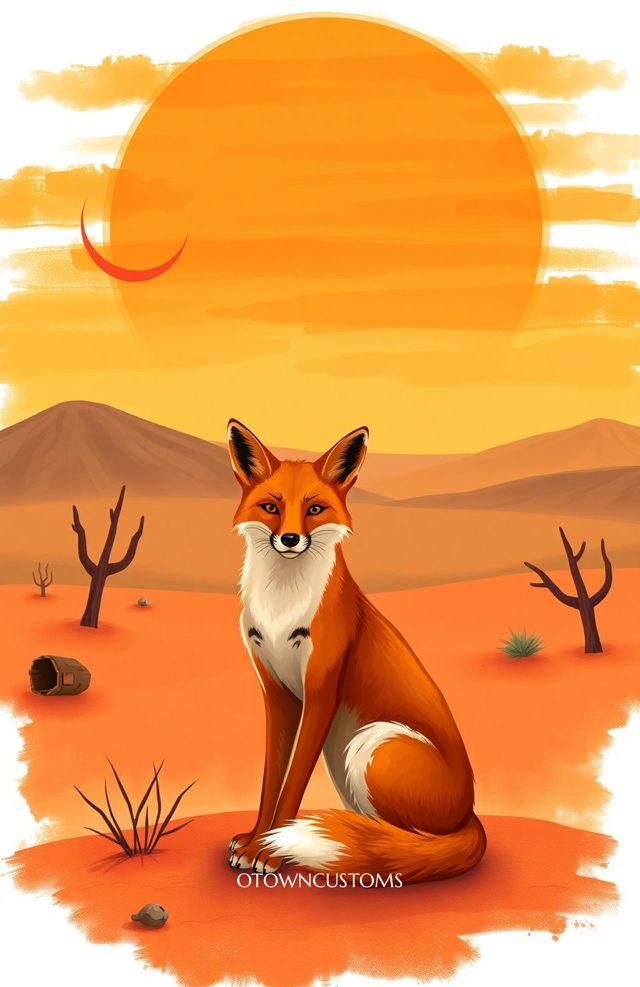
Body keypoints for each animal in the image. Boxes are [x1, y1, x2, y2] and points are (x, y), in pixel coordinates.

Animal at [226, 419, 486, 884]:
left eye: (314, 509)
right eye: (271, 507)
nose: (289, 539)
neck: (280, 607)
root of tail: (470, 815)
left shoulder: (321, 692)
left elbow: (292, 785)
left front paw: (270, 852)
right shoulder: (277, 693)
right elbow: (271, 780)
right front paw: (256, 838)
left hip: (373, 744)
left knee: (409, 845)